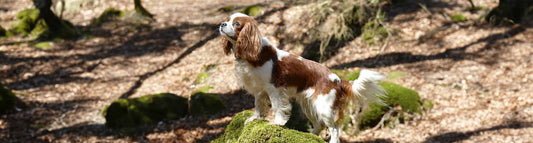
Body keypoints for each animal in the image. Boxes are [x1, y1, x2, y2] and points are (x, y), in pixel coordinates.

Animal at [218, 12, 384, 142]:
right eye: (227, 19)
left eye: (236, 23)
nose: (222, 24)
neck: (253, 53)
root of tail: (338, 79)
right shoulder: (259, 90)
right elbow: (259, 105)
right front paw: (255, 118)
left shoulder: (274, 89)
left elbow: (278, 107)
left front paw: (277, 123)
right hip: (309, 105)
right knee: (319, 124)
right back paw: (311, 135)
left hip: (325, 107)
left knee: (335, 128)